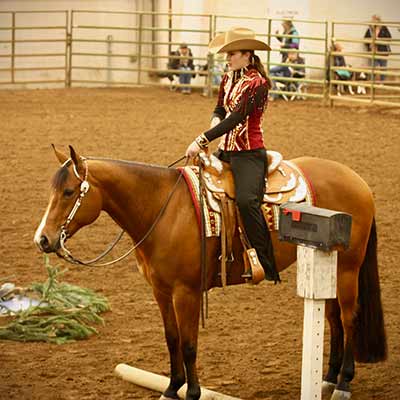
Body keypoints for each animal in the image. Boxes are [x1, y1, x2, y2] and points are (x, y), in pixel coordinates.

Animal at [35, 145, 388, 400]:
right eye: (51, 191)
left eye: (69, 192)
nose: (43, 239)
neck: (163, 209)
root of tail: (357, 180)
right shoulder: (160, 291)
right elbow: (172, 339)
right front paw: (170, 389)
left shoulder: (186, 292)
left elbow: (190, 344)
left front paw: (192, 392)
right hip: (326, 266)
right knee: (333, 319)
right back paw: (327, 379)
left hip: (348, 268)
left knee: (348, 318)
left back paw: (343, 383)